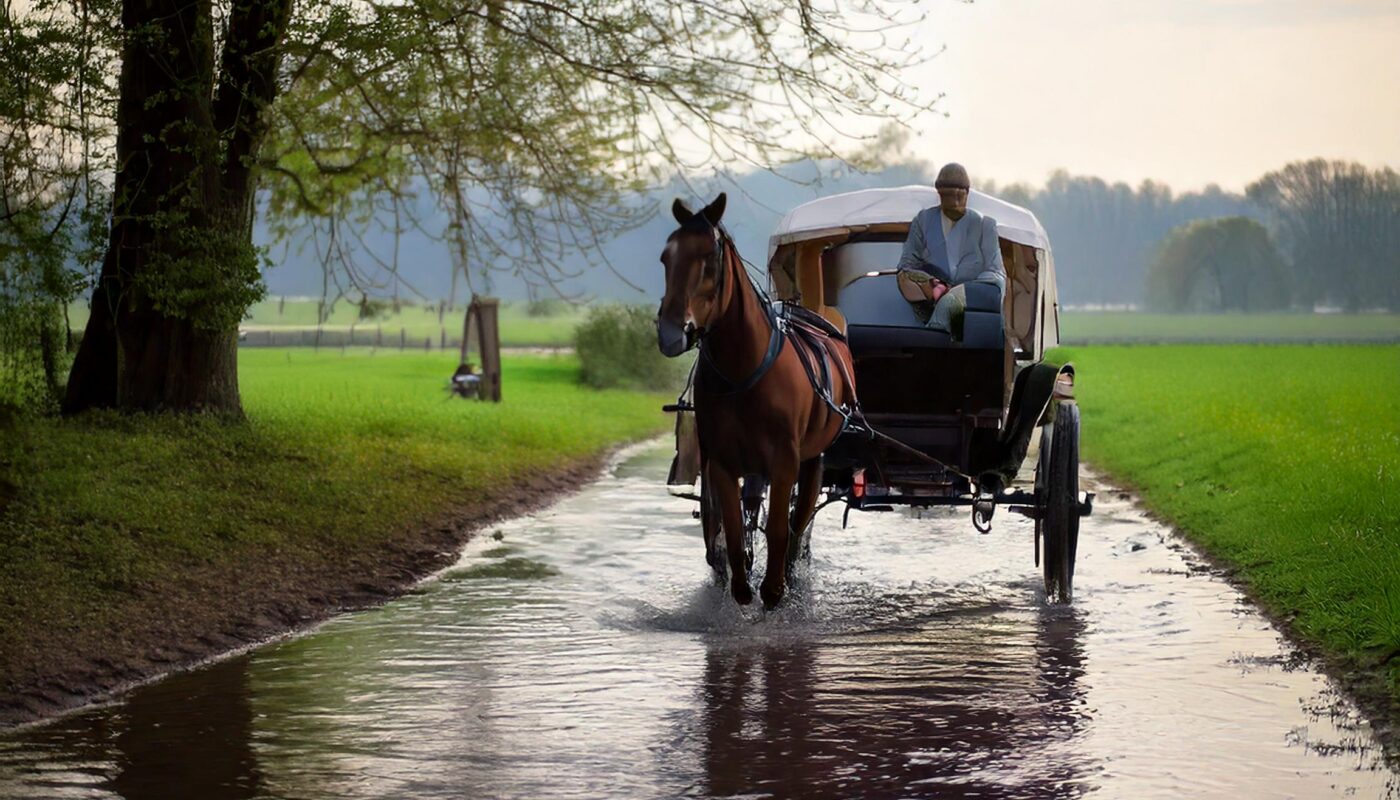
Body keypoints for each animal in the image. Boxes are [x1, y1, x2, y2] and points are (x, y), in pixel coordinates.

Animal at [652, 194, 851, 608]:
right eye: (666, 257)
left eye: (709, 259)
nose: (670, 333)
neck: (742, 371)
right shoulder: (722, 461)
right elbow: (729, 523)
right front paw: (741, 583)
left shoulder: (786, 459)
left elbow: (778, 527)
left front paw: (774, 589)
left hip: (813, 457)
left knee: (799, 516)